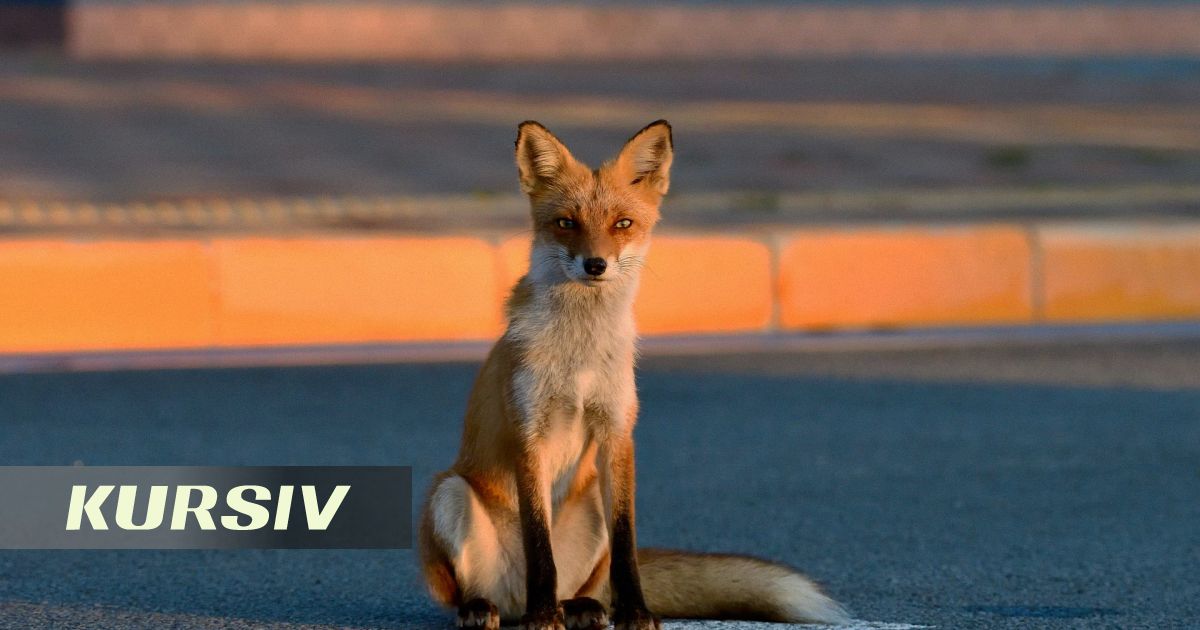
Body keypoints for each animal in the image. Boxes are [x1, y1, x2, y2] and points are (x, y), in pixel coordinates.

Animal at [418, 120, 849, 630]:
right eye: (566, 223)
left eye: (622, 224)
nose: (596, 264)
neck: (579, 358)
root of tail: (513, 600)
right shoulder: (529, 433)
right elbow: (539, 545)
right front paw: (546, 617)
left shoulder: (617, 433)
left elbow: (627, 547)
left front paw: (635, 613)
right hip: (449, 493)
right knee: (481, 592)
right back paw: (497, 607)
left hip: (590, 507)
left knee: (587, 585)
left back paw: (583, 607)